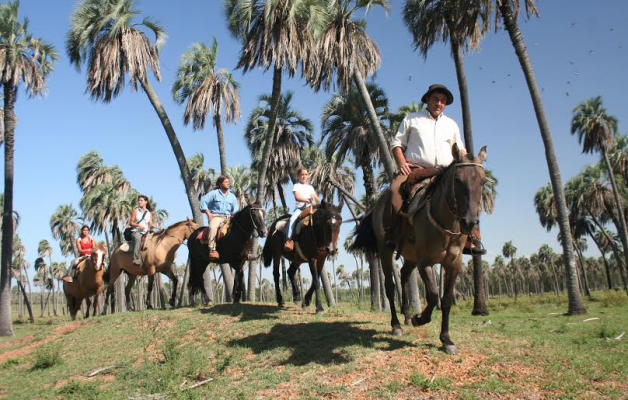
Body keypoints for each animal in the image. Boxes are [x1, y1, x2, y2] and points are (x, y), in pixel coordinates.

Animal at [354, 145, 486, 354]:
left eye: (483, 181)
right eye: (458, 180)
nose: (469, 222)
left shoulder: (453, 264)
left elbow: (446, 300)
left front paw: (446, 339)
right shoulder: (425, 262)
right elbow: (432, 295)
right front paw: (420, 319)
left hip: (410, 257)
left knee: (404, 274)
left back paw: (407, 316)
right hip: (386, 252)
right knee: (390, 286)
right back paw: (397, 324)